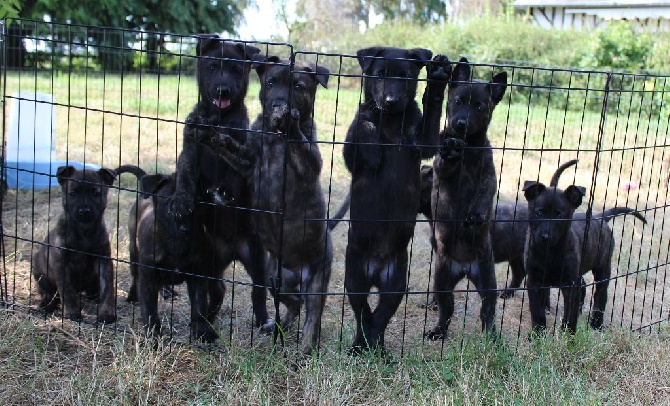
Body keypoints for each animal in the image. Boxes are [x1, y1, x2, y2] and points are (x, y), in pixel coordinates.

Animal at [114, 165, 224, 342]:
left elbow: (199, 306)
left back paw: (167, 291)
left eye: (197, 205)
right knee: (135, 275)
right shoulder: (148, 277)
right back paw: (133, 295)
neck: (176, 243)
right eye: (170, 205)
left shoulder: (198, 276)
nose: (186, 229)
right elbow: (150, 310)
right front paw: (153, 336)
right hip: (133, 250)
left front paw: (202, 331)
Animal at [171, 35, 272, 330]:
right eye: (213, 67)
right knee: (217, 289)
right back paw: (208, 318)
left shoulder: (243, 154)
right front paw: (182, 202)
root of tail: (232, 250)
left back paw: (264, 321)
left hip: (256, 259)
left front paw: (225, 192)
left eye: (237, 70)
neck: (219, 118)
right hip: (208, 266)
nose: (223, 91)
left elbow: (232, 172)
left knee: (258, 291)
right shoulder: (189, 151)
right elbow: (185, 177)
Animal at [342, 46, 452, 354]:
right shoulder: (352, 157)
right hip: (354, 277)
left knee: (380, 315)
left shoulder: (424, 142)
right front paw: (370, 131)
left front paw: (437, 80)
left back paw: (376, 347)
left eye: (404, 77)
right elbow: (362, 122)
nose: (391, 101)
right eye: (380, 75)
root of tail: (376, 270)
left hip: (396, 281)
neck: (391, 120)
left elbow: (431, 111)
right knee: (362, 311)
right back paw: (360, 345)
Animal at [428, 58, 506, 340]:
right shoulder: (440, 169)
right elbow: (445, 164)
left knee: (487, 312)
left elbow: (482, 196)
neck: (469, 146)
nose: (460, 123)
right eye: (458, 101)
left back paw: (493, 338)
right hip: (441, 283)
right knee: (447, 309)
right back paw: (438, 332)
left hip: (487, 281)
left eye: (479, 106)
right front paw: (451, 150)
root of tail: (463, 268)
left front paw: (474, 216)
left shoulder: (488, 178)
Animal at [524, 181, 644, 334]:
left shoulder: (570, 284)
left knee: (600, 295)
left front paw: (567, 334)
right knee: (583, 286)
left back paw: (596, 324)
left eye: (559, 216)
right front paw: (538, 333)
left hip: (603, 267)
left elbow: (570, 313)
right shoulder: (534, 281)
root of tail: (599, 218)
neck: (549, 252)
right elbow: (537, 310)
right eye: (539, 213)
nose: (545, 237)